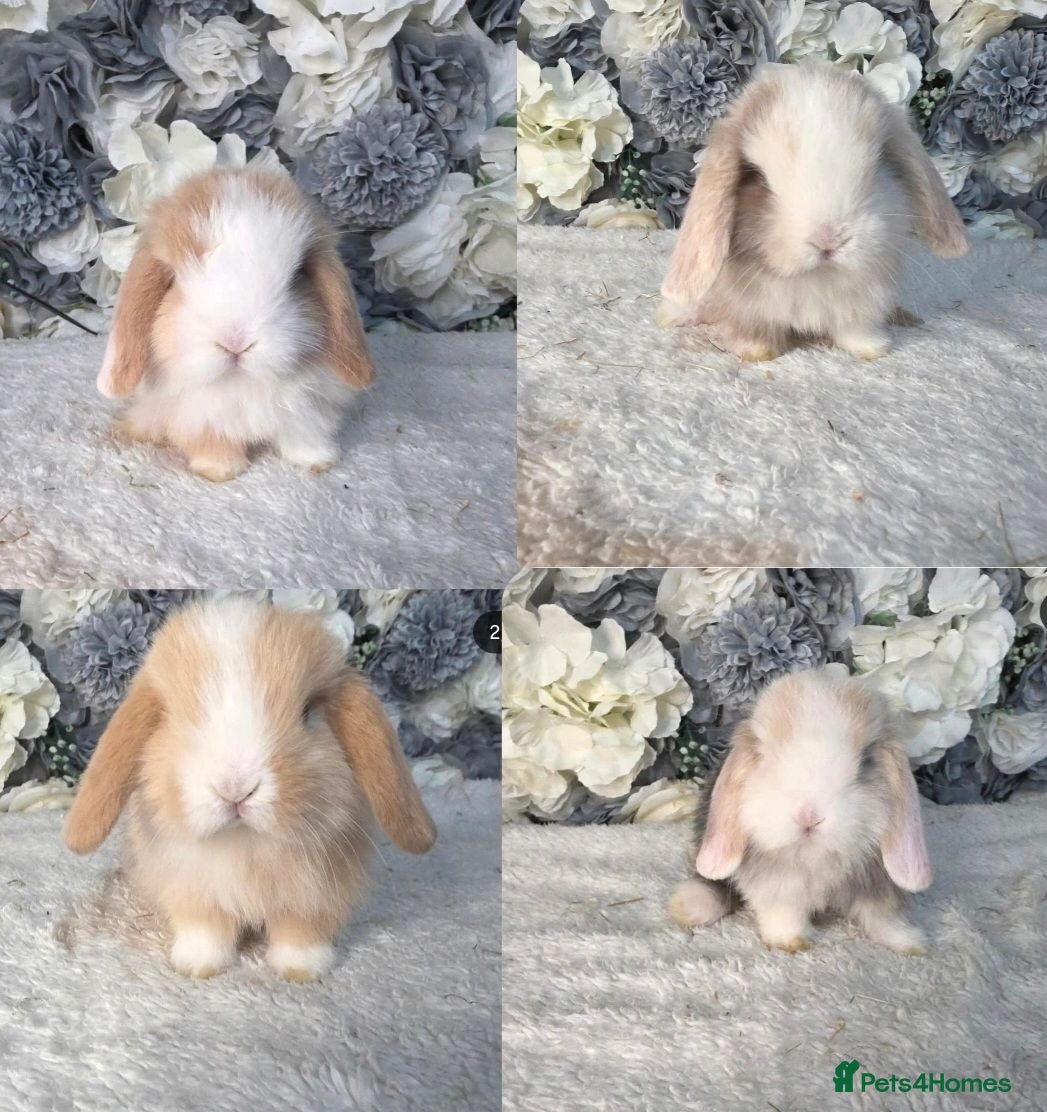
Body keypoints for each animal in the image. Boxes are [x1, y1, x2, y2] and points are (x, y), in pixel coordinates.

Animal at [63, 597, 436, 981]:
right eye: (172, 717)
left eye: (308, 713)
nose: (236, 788)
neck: (245, 846)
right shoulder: (195, 892)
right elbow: (206, 930)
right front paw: (198, 966)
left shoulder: (314, 898)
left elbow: (300, 933)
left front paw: (302, 970)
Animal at [98, 167, 376, 482]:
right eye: (174, 280)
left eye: (298, 276)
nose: (236, 342)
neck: (243, 385)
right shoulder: (200, 417)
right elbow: (214, 442)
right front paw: (219, 471)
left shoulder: (308, 411)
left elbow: (303, 435)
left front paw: (318, 461)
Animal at [658, 62, 969, 362]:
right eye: (757, 176)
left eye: (880, 161)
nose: (829, 239)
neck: (817, 278)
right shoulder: (751, 308)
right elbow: (758, 330)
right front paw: (755, 351)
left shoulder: (863, 303)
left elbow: (855, 329)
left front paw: (872, 349)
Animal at [668, 666, 932, 955]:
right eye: (764, 755)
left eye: (865, 761)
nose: (809, 817)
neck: (814, 858)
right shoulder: (778, 885)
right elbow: (784, 911)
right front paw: (791, 942)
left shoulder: (880, 883)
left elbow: (884, 916)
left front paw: (909, 943)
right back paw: (687, 906)